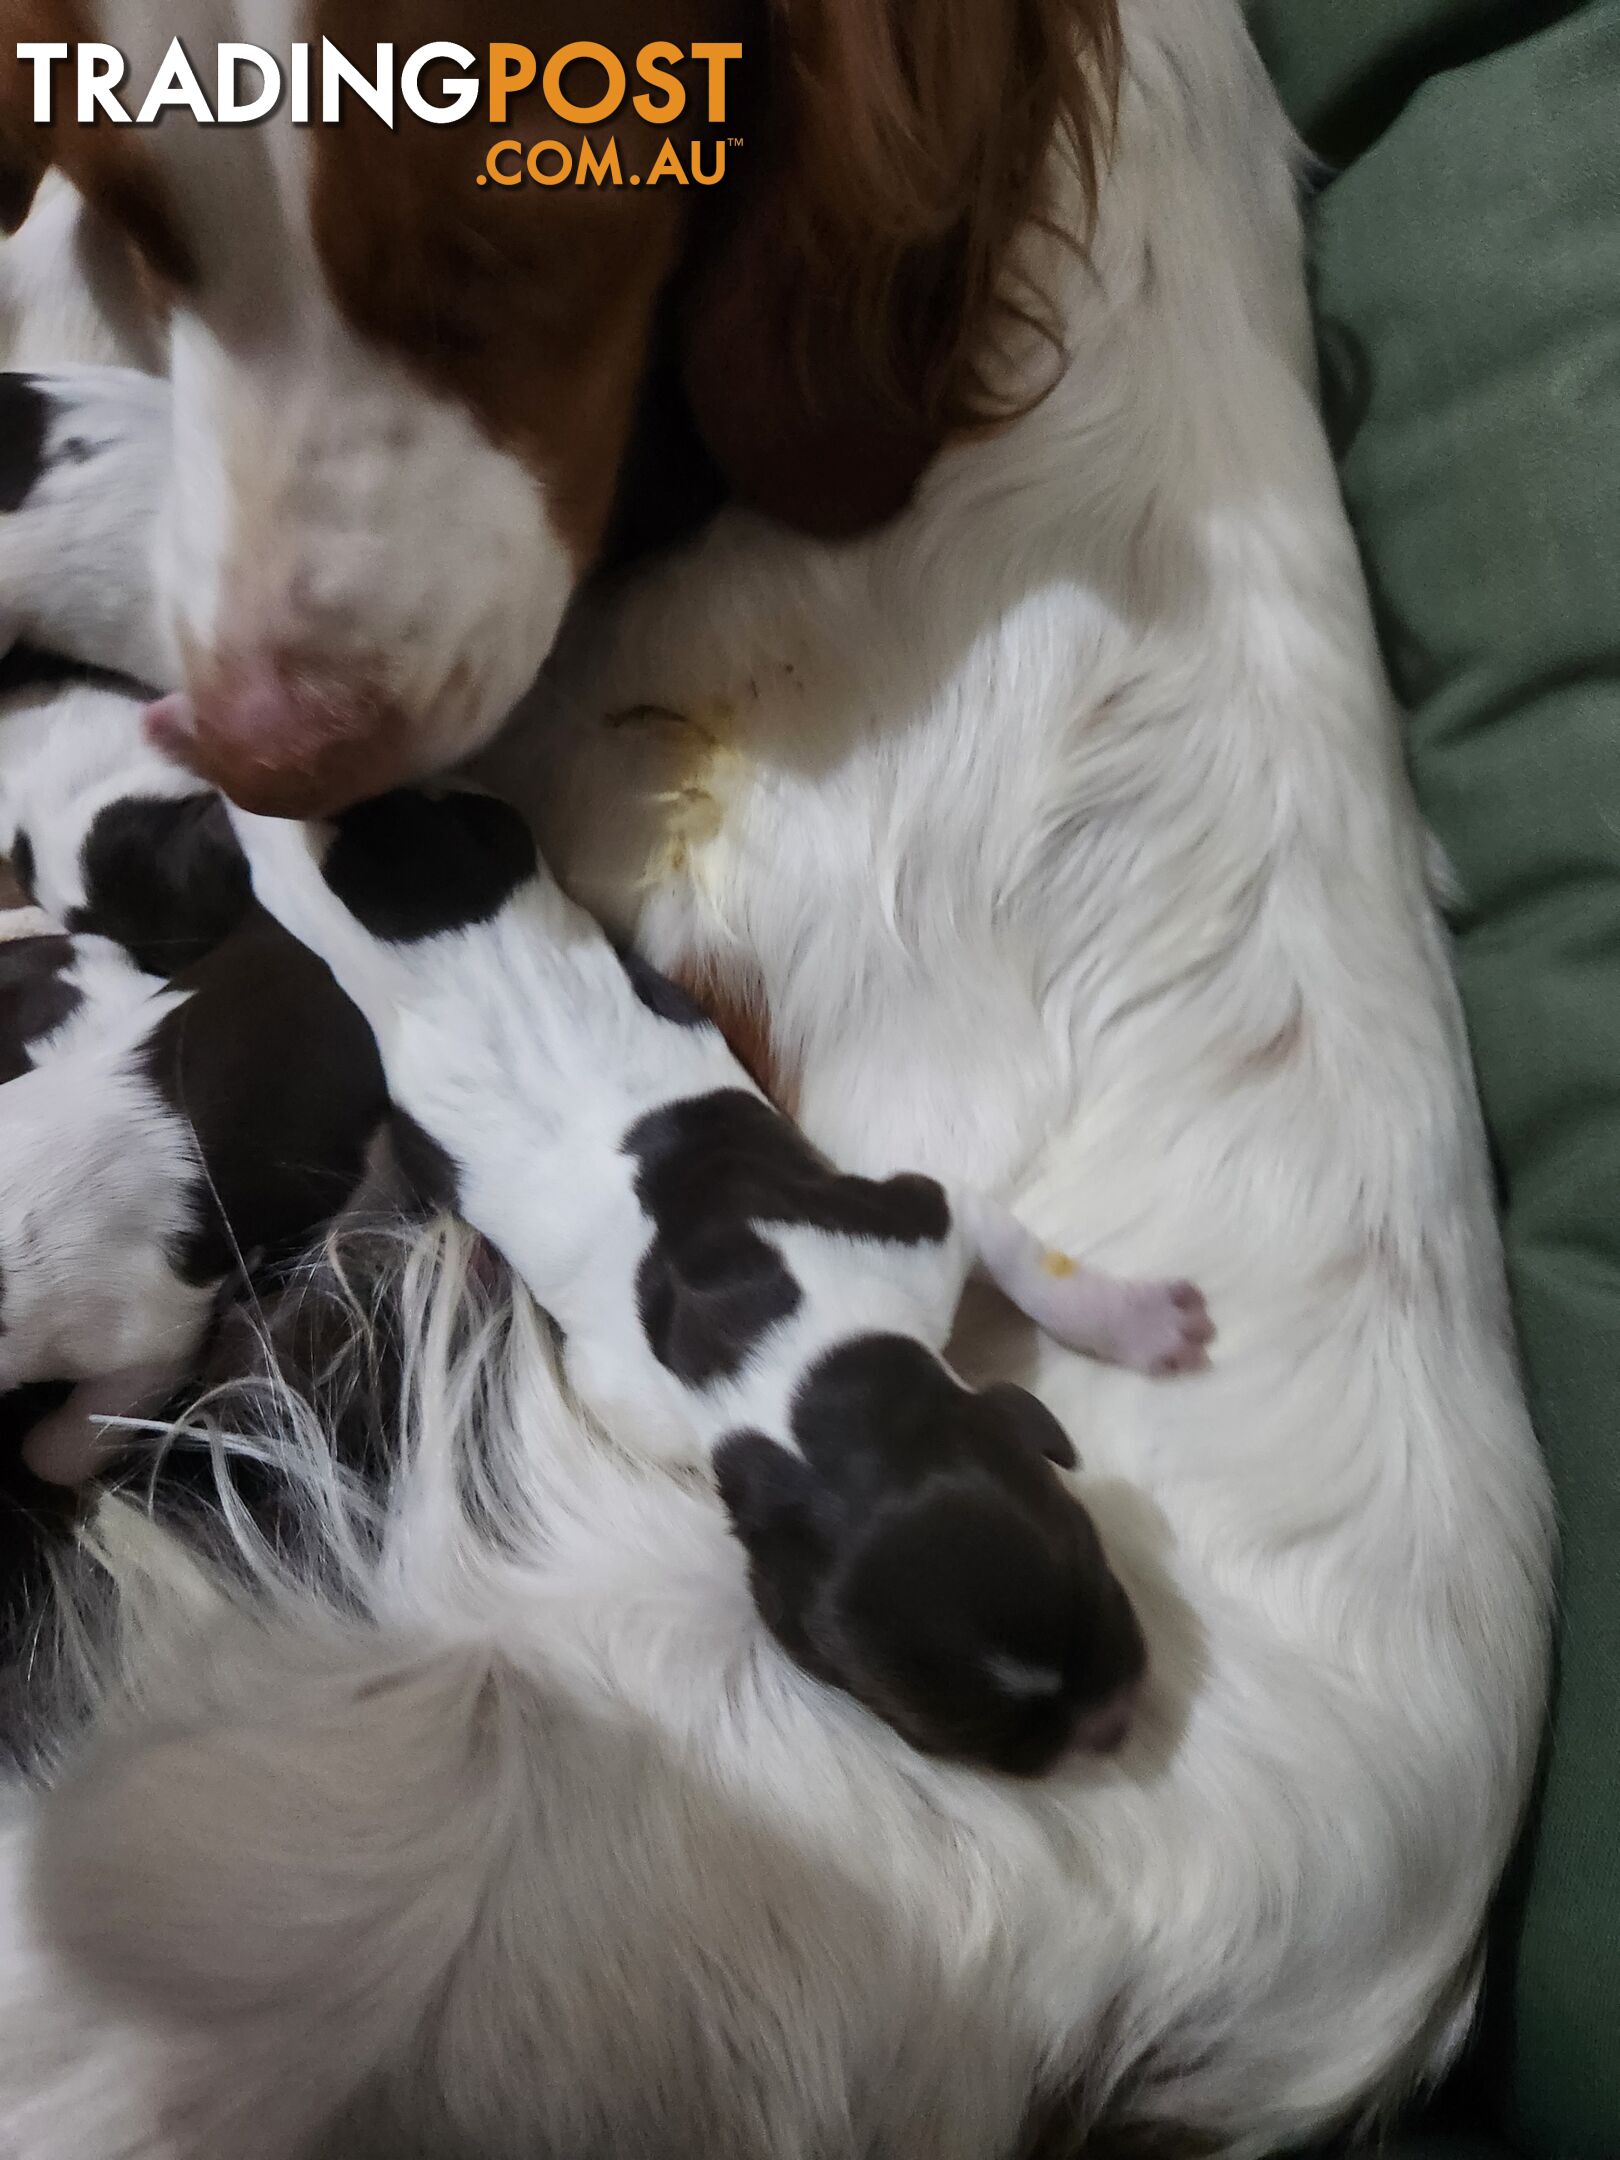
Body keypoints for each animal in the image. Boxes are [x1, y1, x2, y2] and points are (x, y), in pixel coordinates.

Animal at [231, 794, 1218, 1771]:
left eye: (1096, 1569)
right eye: (986, 1744)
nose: (1115, 1725)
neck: (790, 1375)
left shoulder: (911, 1222)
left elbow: (1025, 1260)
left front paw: (1143, 1324)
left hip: (488, 831)